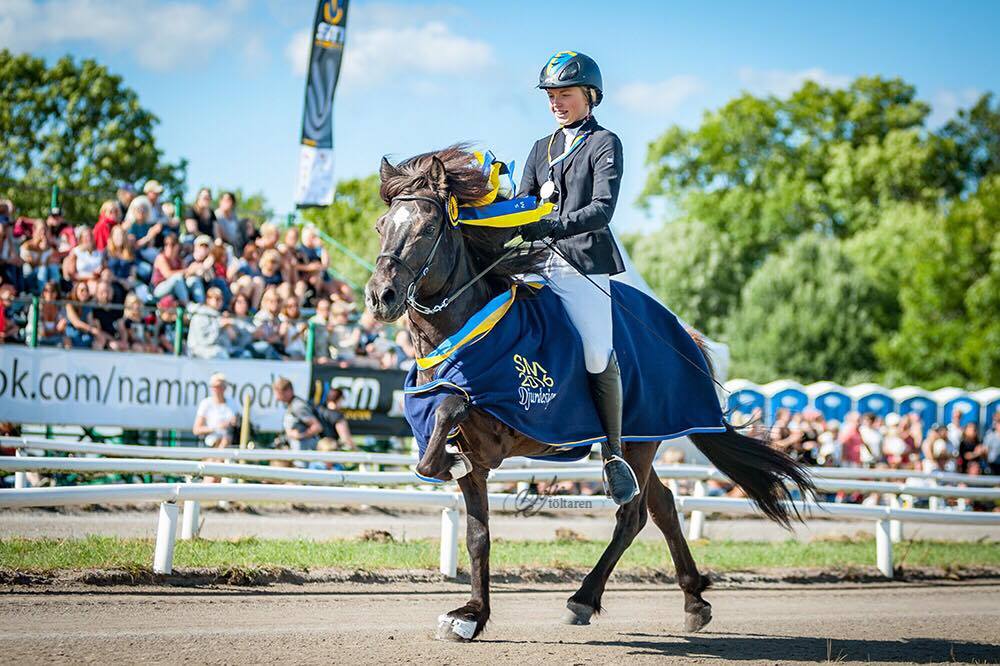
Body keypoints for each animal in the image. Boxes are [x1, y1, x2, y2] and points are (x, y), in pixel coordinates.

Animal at [368, 144, 812, 640]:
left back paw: (582, 599)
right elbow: (475, 533)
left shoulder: (506, 421)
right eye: (382, 226)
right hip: (642, 440)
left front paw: (446, 460)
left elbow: (450, 409)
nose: (380, 296)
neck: (466, 334)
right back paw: (694, 600)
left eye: (428, 229)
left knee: (632, 514)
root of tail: (682, 333)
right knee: (661, 505)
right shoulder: (478, 457)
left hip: (638, 439)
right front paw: (472, 615)